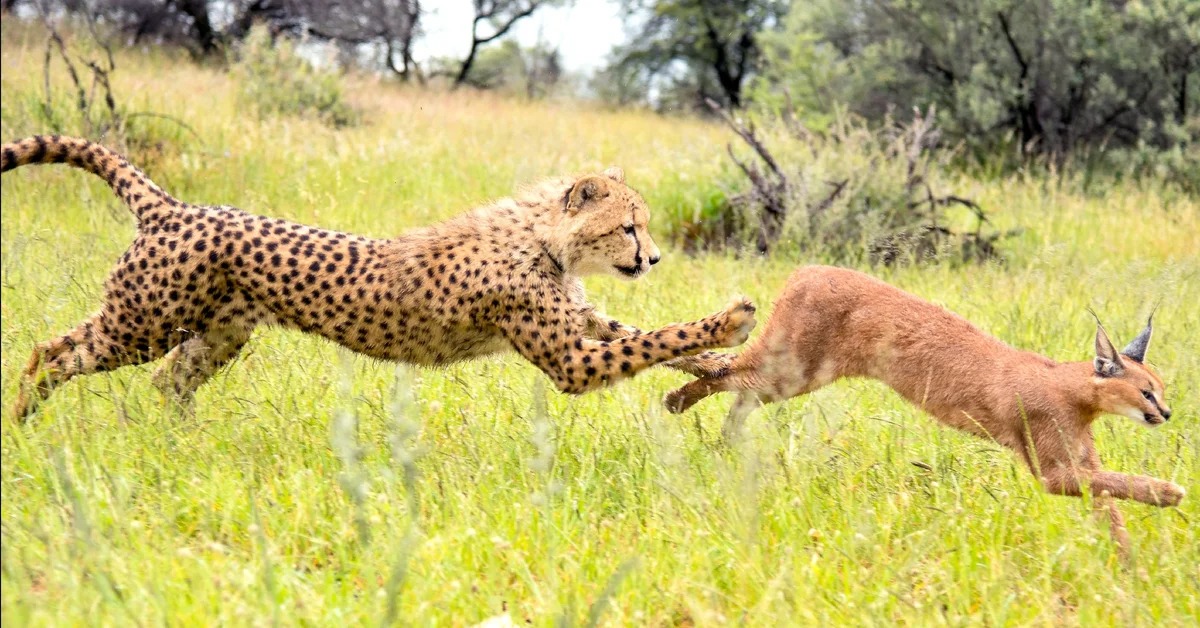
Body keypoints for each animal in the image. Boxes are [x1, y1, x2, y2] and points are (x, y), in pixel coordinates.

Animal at [4, 133, 753, 417]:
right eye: (630, 226)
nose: (653, 259)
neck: (543, 239)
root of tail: (175, 205)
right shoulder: (571, 360)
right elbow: (654, 338)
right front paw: (732, 319)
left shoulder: (581, 320)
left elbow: (650, 337)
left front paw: (720, 366)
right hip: (145, 322)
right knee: (54, 351)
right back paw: (24, 415)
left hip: (213, 334)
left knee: (165, 381)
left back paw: (178, 444)